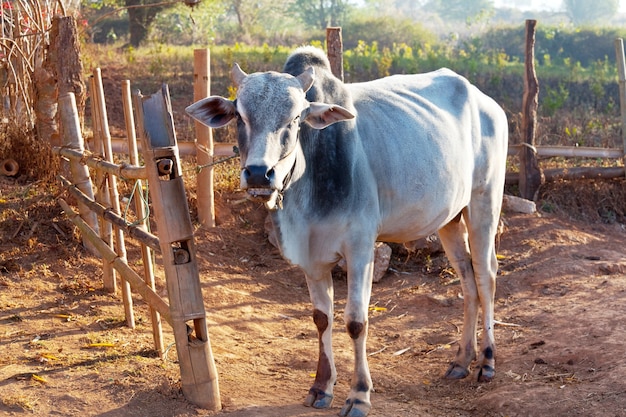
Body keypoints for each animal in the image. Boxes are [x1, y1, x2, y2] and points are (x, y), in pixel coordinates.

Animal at [185, 45, 508, 416]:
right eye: (239, 116)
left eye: (295, 119)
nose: (257, 174)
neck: (309, 179)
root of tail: (489, 103)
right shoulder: (310, 257)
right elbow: (321, 318)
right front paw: (321, 387)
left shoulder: (360, 249)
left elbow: (356, 321)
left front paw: (359, 394)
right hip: (450, 219)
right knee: (467, 280)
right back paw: (461, 360)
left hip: (484, 201)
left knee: (486, 276)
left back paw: (486, 362)